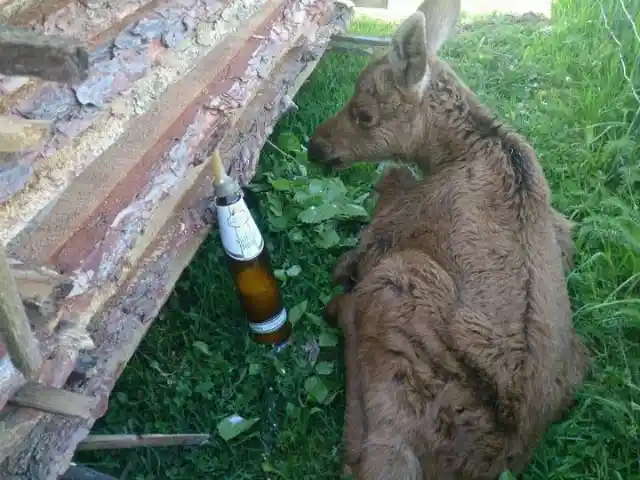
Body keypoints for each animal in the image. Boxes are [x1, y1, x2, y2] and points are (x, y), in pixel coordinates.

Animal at [310, 1, 592, 478]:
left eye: (364, 113)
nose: (315, 146)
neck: (452, 153)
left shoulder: (389, 232)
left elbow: (363, 232)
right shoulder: (562, 228)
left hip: (403, 276)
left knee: (366, 454)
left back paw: (339, 308)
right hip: (581, 354)